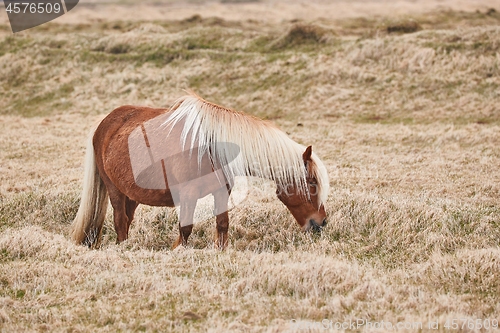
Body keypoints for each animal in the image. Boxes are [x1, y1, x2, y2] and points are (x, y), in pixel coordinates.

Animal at [69, 92, 328, 248]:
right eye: (312, 183)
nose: (322, 222)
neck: (211, 147)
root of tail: (105, 123)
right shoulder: (187, 194)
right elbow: (185, 228)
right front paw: (177, 250)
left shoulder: (221, 192)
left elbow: (222, 225)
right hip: (114, 190)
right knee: (120, 221)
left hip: (131, 194)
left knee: (126, 219)